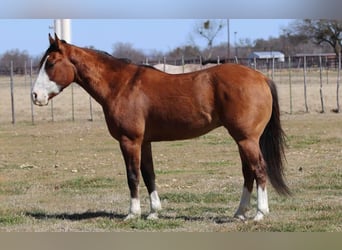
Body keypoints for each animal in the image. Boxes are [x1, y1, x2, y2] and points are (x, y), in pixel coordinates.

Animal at [32, 34, 290, 222]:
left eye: (51, 63)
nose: (35, 96)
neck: (121, 85)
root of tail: (260, 77)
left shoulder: (129, 141)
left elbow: (133, 176)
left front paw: (132, 213)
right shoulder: (144, 142)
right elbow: (149, 175)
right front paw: (154, 212)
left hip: (247, 139)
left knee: (259, 170)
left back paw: (259, 214)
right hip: (242, 140)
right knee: (248, 173)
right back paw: (239, 213)